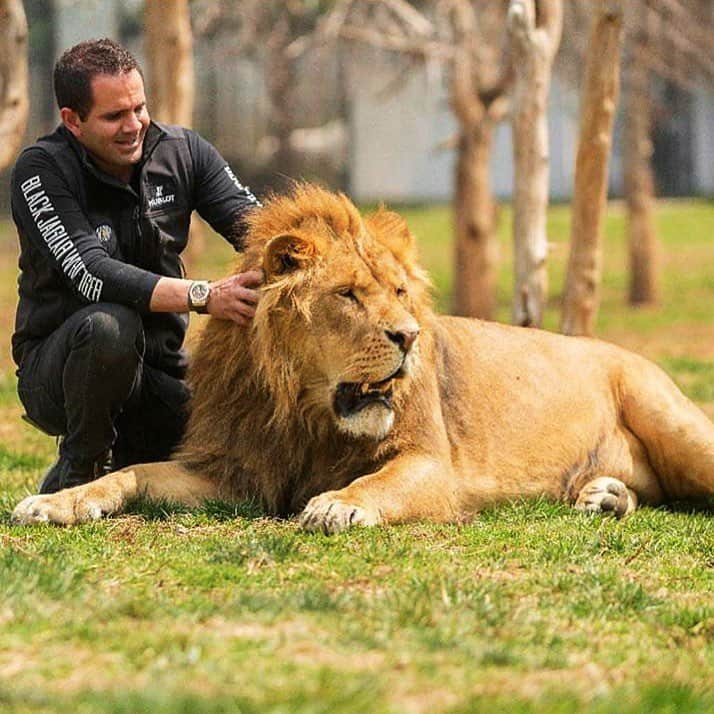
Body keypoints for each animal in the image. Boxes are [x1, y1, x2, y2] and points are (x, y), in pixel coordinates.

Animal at [9, 182, 712, 528]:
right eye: (348, 295)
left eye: (400, 292)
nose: (408, 336)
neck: (306, 410)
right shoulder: (238, 473)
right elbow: (130, 473)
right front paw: (58, 502)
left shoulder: (434, 465)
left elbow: (378, 480)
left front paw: (338, 503)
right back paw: (606, 498)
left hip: (673, 421)